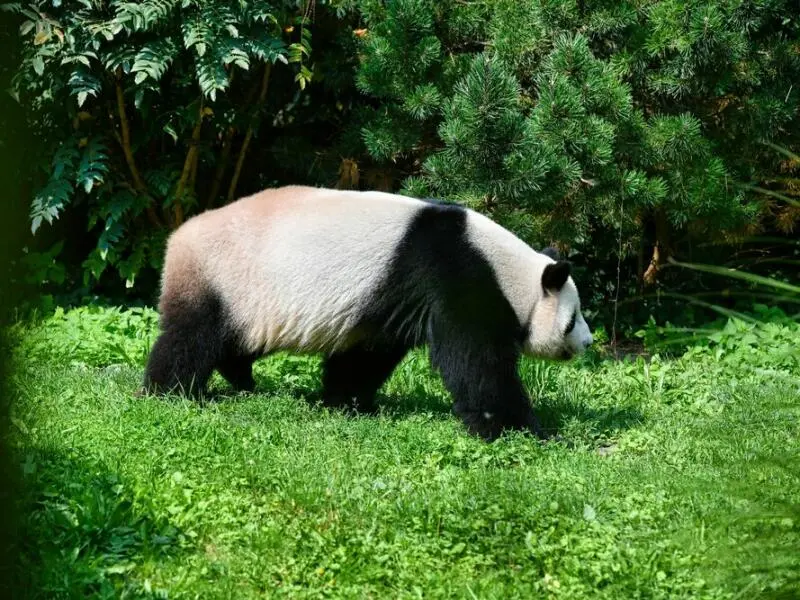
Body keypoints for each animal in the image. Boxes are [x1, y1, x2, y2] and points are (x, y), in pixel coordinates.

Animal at [144, 186, 592, 440]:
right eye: (572, 319)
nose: (588, 342)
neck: (508, 270)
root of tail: (178, 236)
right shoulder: (456, 276)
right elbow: (476, 362)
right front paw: (524, 430)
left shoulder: (389, 299)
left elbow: (368, 353)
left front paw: (347, 402)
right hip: (223, 276)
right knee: (191, 337)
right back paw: (168, 392)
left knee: (236, 341)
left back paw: (240, 378)